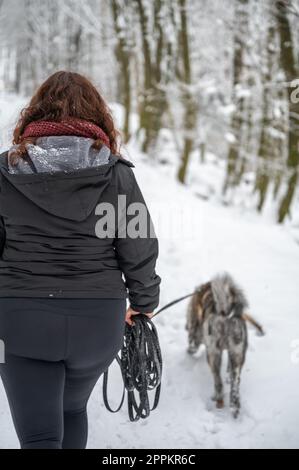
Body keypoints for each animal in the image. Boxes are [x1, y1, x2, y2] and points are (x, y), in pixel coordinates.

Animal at [188, 272, 264, 418]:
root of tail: (224, 314)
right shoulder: (232, 352)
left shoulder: (196, 331)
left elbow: (193, 341)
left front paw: (190, 350)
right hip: (238, 352)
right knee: (235, 382)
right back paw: (234, 406)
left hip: (213, 354)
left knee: (218, 381)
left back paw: (218, 398)